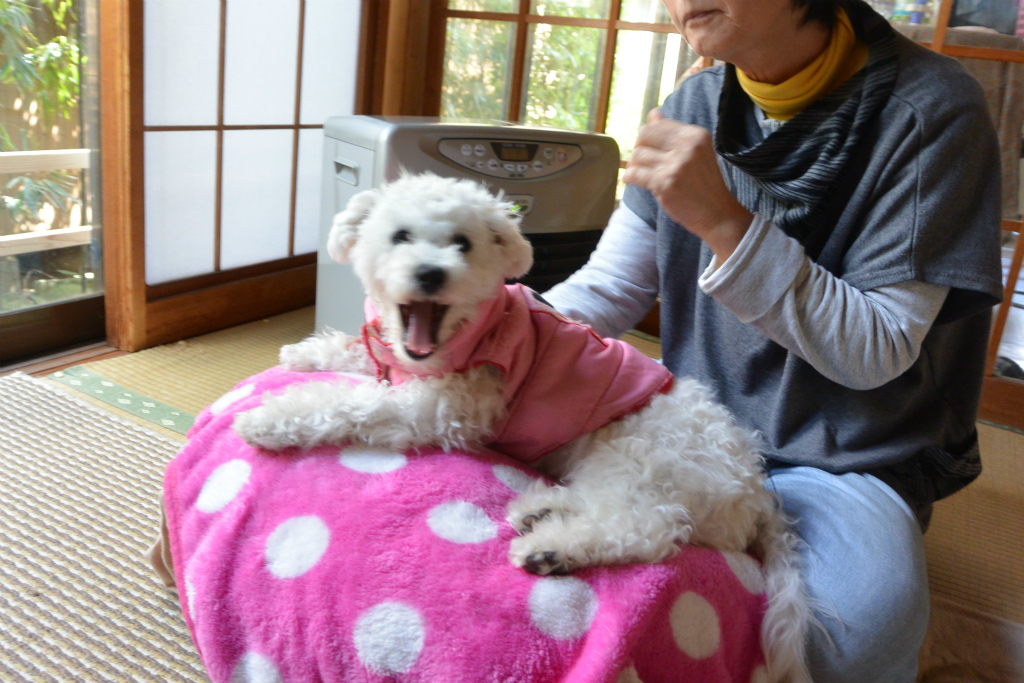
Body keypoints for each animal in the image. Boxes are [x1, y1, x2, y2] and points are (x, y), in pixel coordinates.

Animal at [233, 172, 813, 683]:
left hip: (639, 453)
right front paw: (306, 352)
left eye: (463, 244)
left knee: (646, 528)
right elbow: (354, 355)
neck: (459, 335)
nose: (430, 274)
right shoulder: (402, 364)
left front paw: (270, 417)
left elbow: (350, 402)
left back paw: (550, 548)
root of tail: (756, 493)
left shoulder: (442, 407)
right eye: (399, 236)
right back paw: (539, 511)